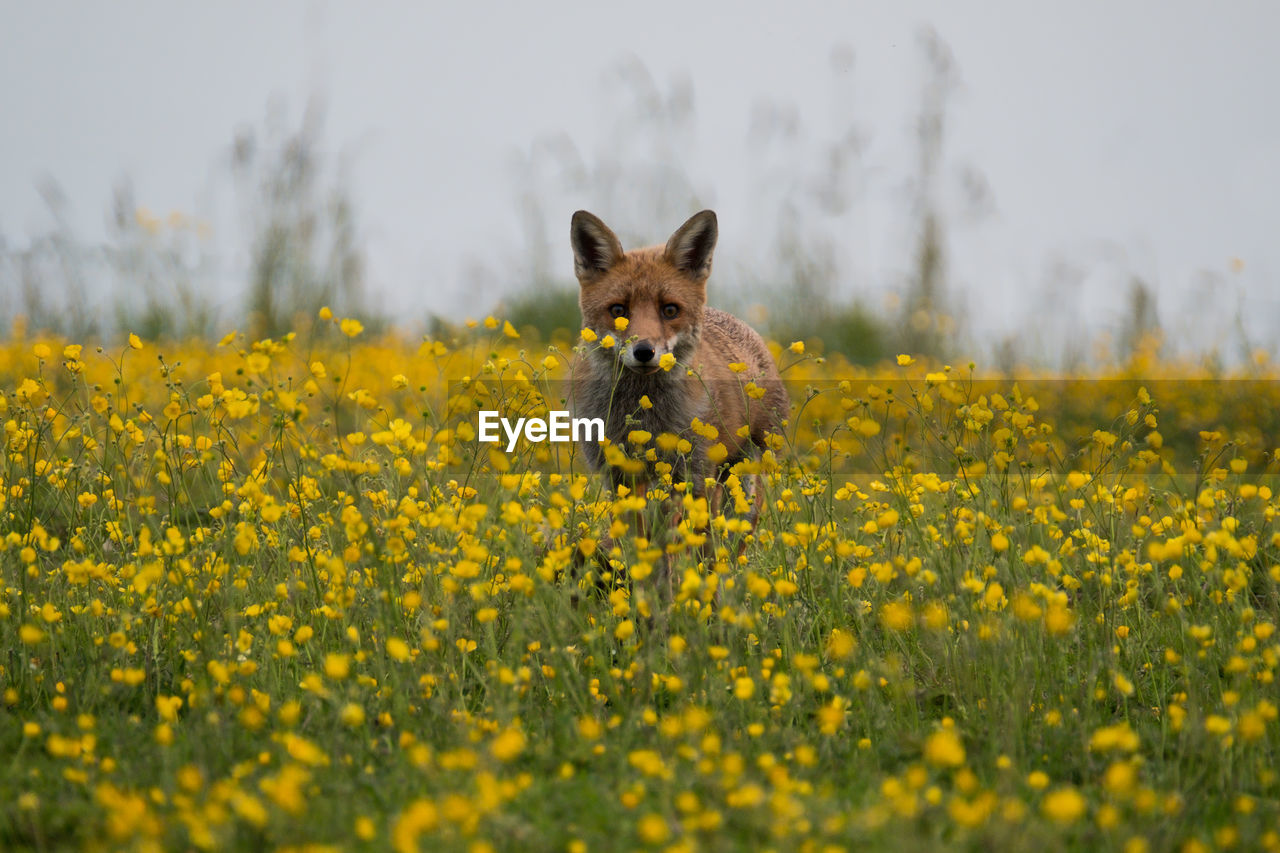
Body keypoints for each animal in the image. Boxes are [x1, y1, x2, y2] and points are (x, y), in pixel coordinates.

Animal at [573, 208, 788, 532]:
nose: (644, 351)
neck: (645, 414)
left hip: (742, 478)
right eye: (618, 310)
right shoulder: (617, 474)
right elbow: (633, 537)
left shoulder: (692, 472)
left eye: (670, 310)